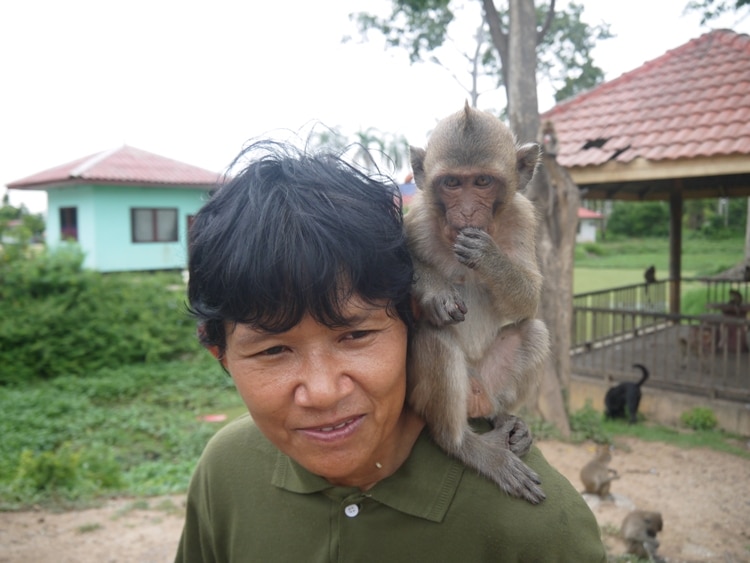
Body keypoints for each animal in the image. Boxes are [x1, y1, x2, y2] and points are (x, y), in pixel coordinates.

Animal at [406, 103, 552, 504]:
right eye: (453, 184)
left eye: (483, 182)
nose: (469, 212)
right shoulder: (417, 215)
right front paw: (436, 292)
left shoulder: (522, 216)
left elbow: (530, 299)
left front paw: (486, 255)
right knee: (436, 337)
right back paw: (464, 445)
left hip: (490, 378)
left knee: (534, 331)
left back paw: (505, 419)